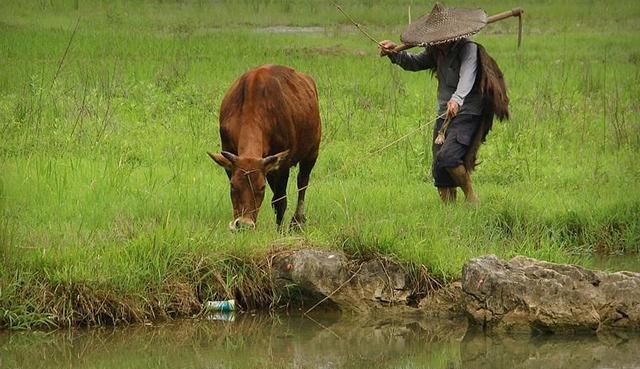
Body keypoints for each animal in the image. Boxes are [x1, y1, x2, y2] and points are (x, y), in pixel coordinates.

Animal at [209, 63, 320, 230]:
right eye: (233, 186)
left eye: (262, 187)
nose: (244, 224)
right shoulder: (229, 160)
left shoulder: (282, 166)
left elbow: (280, 201)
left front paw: (279, 231)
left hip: (312, 152)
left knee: (302, 182)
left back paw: (297, 221)